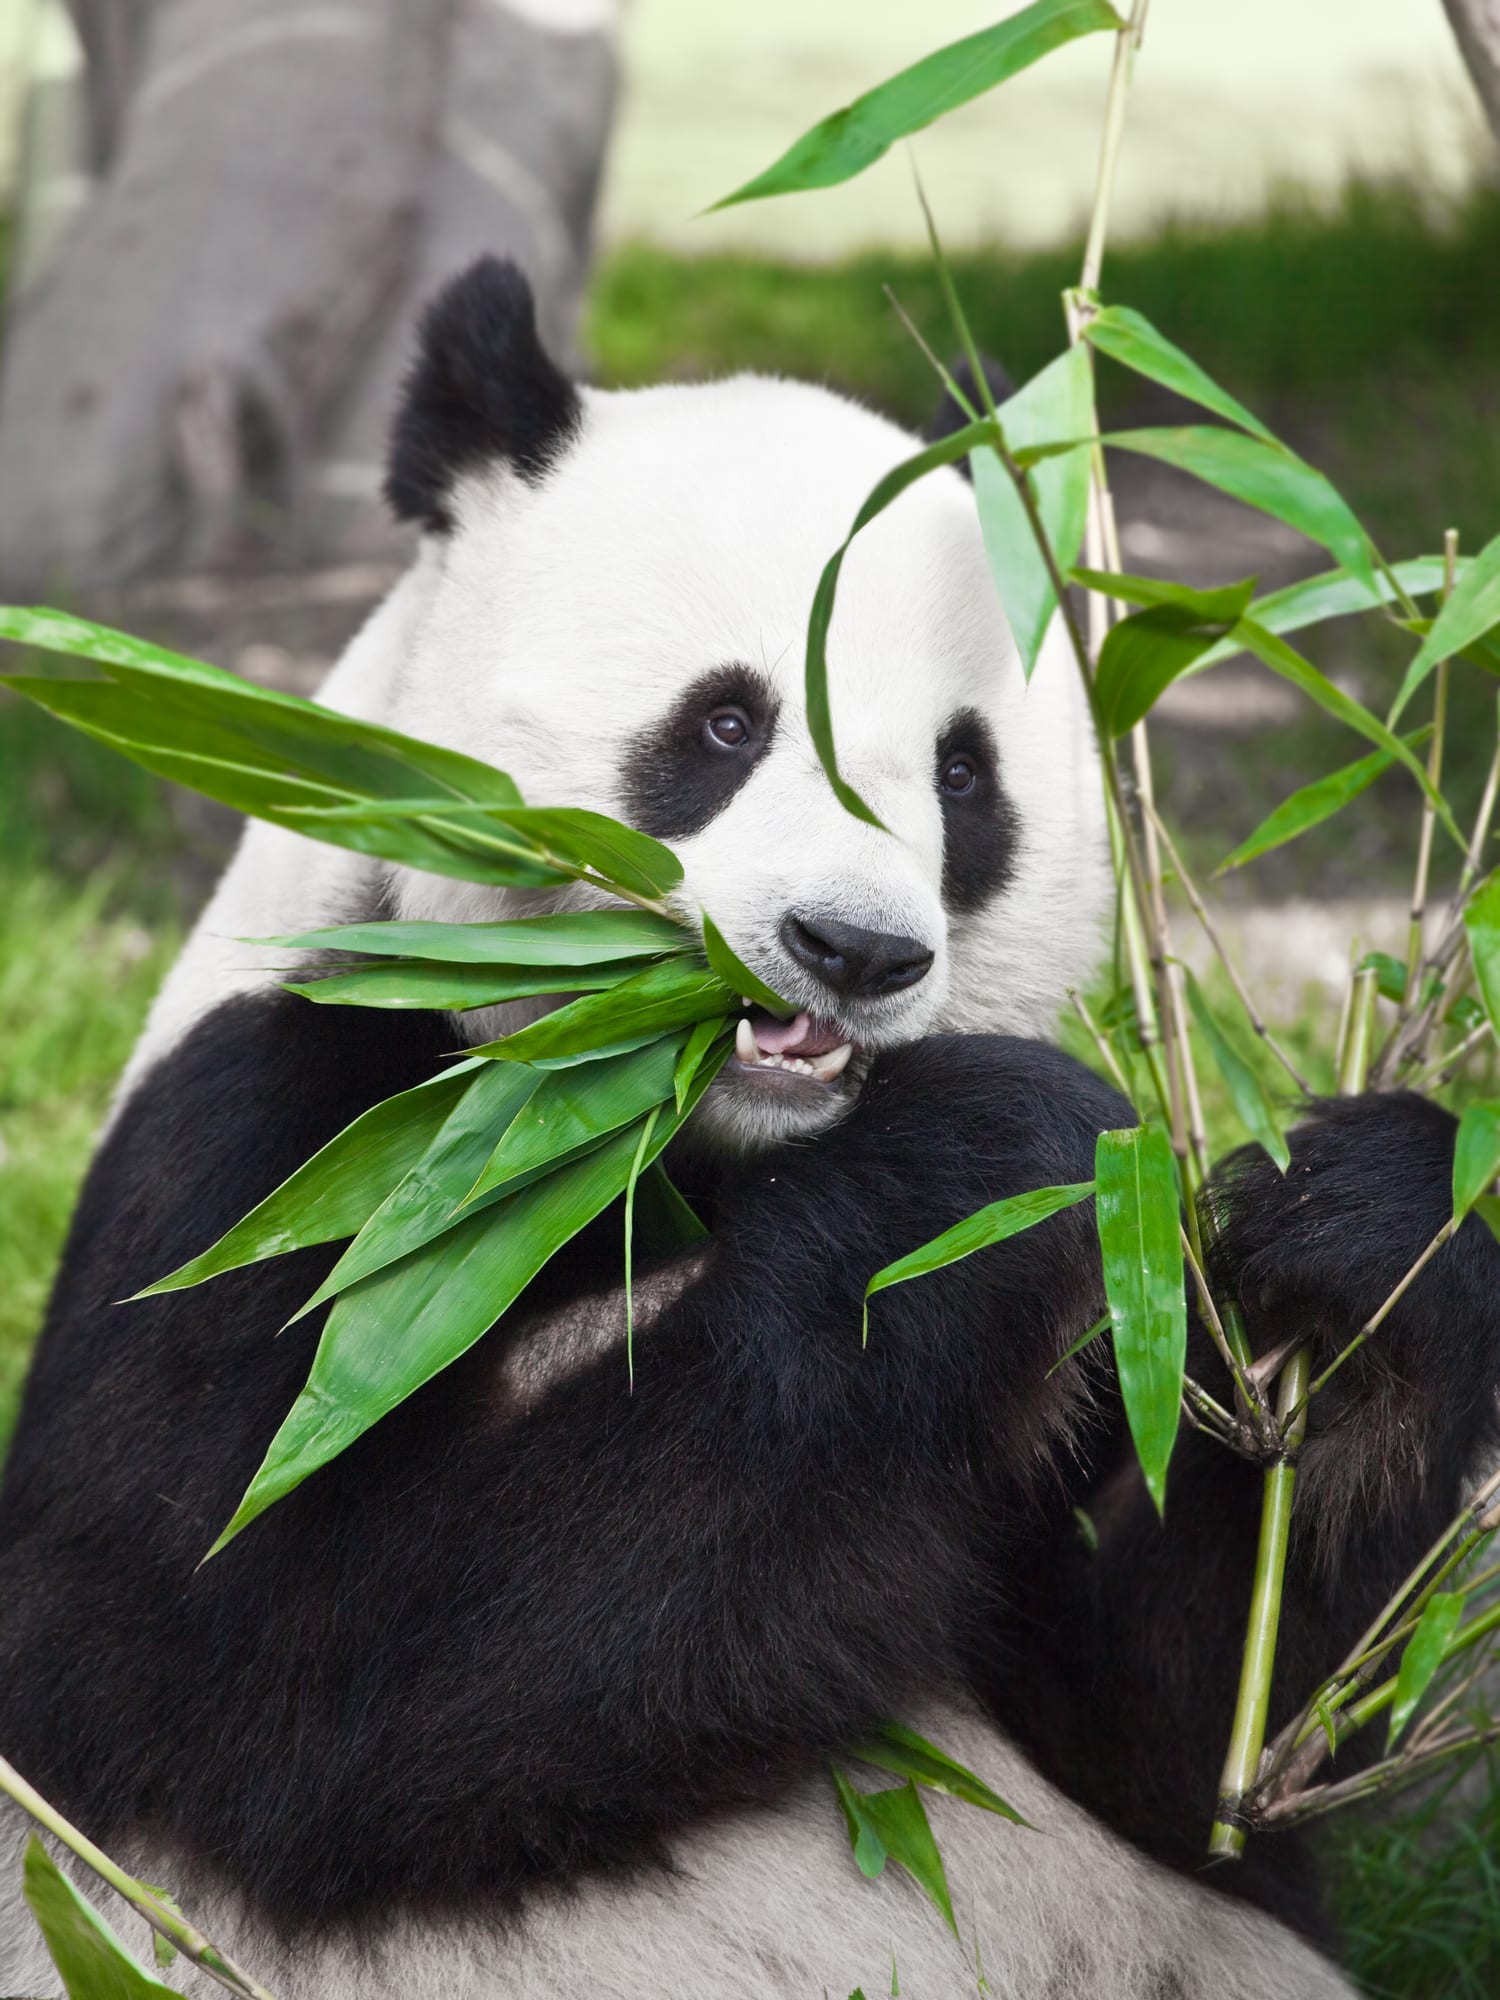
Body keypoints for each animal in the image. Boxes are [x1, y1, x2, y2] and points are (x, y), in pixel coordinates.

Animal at [2, 254, 1500, 2000]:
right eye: (726, 727)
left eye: (963, 778)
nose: (855, 951)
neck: (694, 1142)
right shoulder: (285, 1145)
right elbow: (250, 1680)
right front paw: (985, 1154)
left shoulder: (1093, 1341)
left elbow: (1184, 1755)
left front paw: (1368, 1240)